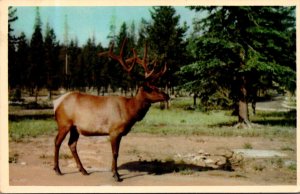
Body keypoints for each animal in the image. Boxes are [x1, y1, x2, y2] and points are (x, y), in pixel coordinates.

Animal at [53, 39, 169, 182]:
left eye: (156, 85)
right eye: (149, 88)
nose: (166, 95)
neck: (129, 111)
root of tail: (56, 103)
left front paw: (116, 173)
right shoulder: (114, 131)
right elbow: (115, 153)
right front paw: (116, 175)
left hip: (75, 127)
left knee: (72, 144)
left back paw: (83, 170)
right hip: (64, 123)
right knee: (57, 142)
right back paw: (57, 170)